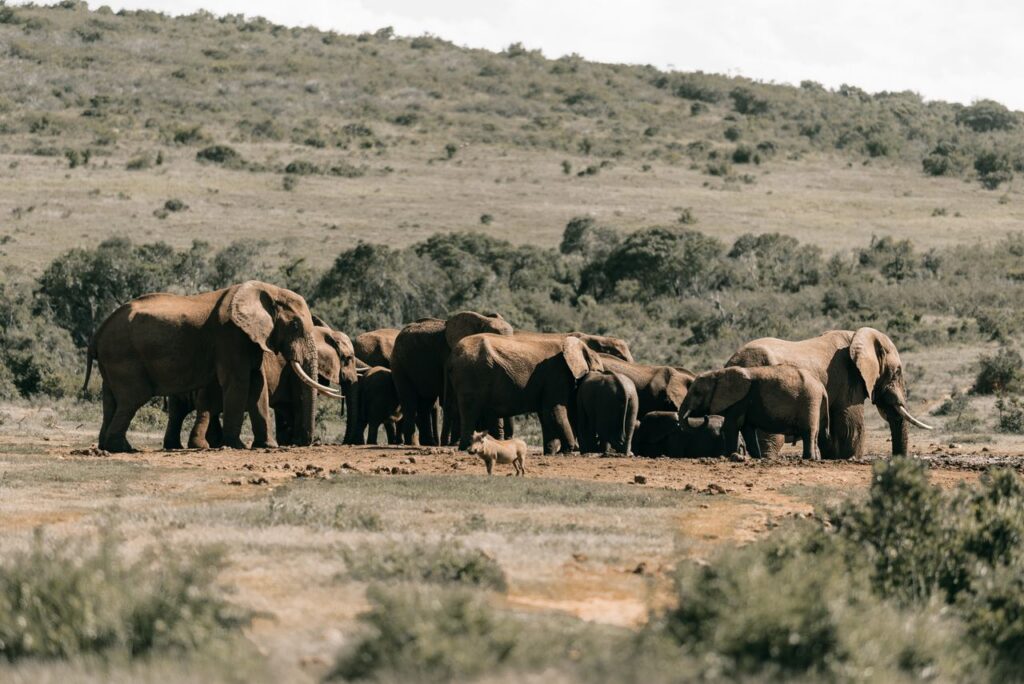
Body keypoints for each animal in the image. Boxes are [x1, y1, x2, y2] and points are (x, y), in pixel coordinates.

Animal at [83, 281, 341, 452]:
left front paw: (266, 446)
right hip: (124, 357)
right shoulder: (231, 336)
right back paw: (124, 448)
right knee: (132, 399)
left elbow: (257, 384)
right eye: (295, 325)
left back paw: (107, 446)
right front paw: (237, 445)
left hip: (111, 361)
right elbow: (239, 383)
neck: (265, 291)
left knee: (112, 400)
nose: (308, 442)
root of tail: (97, 334)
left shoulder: (250, 339)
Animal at [390, 312, 513, 446]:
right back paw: (413, 443)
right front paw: (455, 442)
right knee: (409, 402)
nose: (507, 438)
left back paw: (429, 443)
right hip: (399, 364)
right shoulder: (448, 355)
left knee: (426, 403)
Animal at [449, 333, 606, 454]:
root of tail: (454, 354)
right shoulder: (556, 375)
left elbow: (545, 414)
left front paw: (549, 453)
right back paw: (466, 449)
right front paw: (566, 451)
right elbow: (554, 410)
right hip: (470, 375)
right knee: (470, 411)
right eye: (598, 371)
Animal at [680, 366, 829, 460]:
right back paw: (814, 459)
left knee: (808, 432)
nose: (705, 417)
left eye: (697, 393)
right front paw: (757, 457)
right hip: (814, 402)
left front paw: (728, 456)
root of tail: (822, 387)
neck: (718, 374)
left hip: (810, 399)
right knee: (815, 433)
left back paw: (807, 459)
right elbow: (747, 429)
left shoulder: (739, 401)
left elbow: (731, 427)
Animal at [727, 328, 933, 459]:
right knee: (771, 439)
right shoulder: (848, 379)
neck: (856, 335)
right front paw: (850, 459)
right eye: (897, 372)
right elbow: (851, 427)